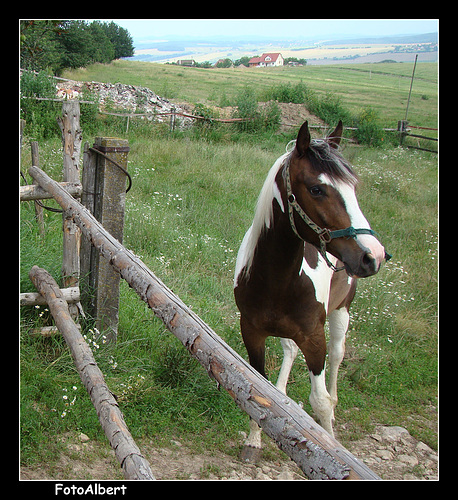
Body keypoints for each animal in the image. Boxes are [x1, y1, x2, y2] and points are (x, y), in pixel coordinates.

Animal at [234, 120, 388, 460]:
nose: (373, 255)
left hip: (342, 312)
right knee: (290, 351)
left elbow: (320, 402)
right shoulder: (252, 331)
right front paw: (254, 440)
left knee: (338, 357)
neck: (275, 281)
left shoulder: (315, 339)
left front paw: (332, 447)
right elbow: (258, 386)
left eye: (353, 188)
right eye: (317, 189)